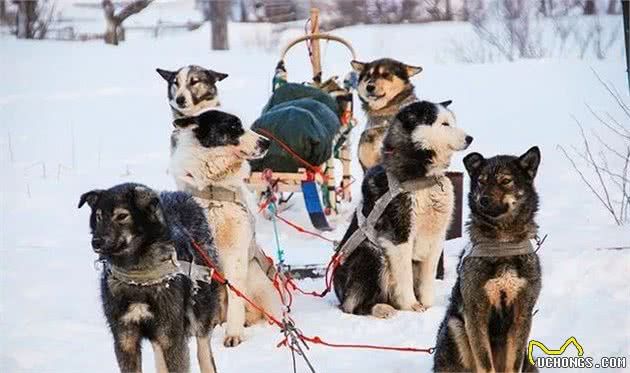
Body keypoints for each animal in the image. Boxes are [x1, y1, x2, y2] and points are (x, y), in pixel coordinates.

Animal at [79, 183, 222, 372]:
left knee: (204, 349)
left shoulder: (171, 338)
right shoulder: (125, 339)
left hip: (201, 310)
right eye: (99, 216)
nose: (96, 242)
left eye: (122, 216)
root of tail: (181, 195)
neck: (137, 276)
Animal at [336, 100, 474, 316]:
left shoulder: (436, 238)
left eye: (452, 121)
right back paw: (382, 308)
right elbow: (405, 277)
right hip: (371, 254)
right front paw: (411, 305)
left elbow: (428, 278)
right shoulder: (399, 237)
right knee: (352, 306)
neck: (423, 177)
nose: (470, 138)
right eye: (444, 124)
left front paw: (428, 305)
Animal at [434, 146, 544, 372]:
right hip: (455, 326)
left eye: (505, 181)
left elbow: (514, 363)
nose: (482, 199)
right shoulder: (476, 313)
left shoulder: (522, 313)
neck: (502, 244)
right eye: (481, 181)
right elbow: (485, 362)